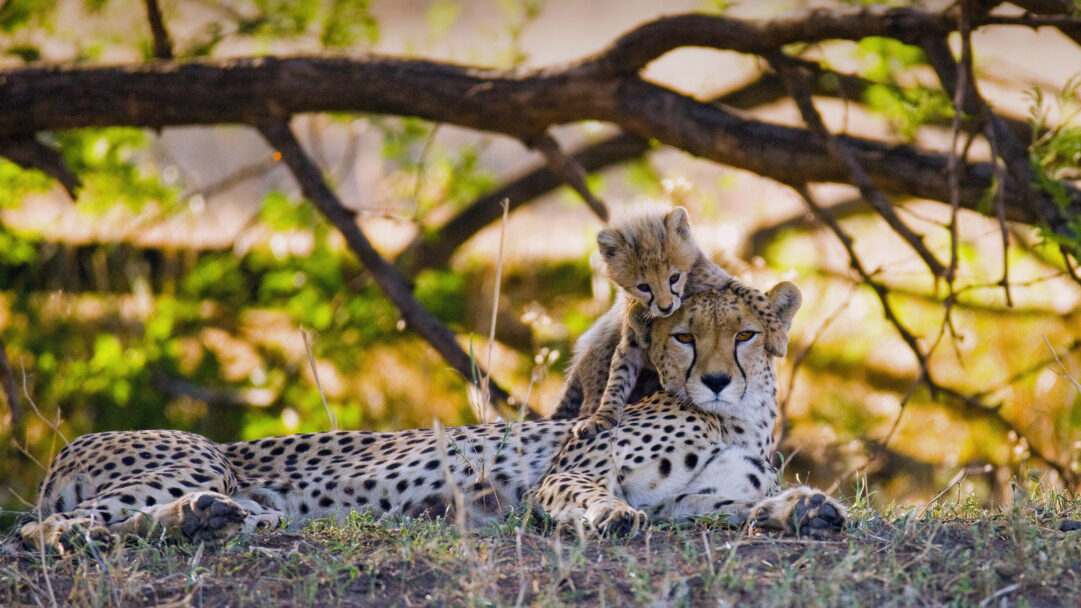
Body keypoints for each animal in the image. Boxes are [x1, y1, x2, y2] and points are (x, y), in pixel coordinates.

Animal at [18, 282, 844, 554]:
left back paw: (212, 519)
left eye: (743, 334)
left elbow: (740, 508)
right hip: (191, 458)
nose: (715, 379)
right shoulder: (572, 469)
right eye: (683, 336)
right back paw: (173, 521)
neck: (739, 420)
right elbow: (586, 494)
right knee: (45, 530)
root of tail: (70, 445)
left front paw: (804, 509)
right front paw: (605, 517)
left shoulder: (689, 501)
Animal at [549, 205, 731, 439]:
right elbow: (617, 381)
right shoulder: (630, 345)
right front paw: (603, 416)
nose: (665, 307)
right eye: (643, 287)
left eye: (674, 277)